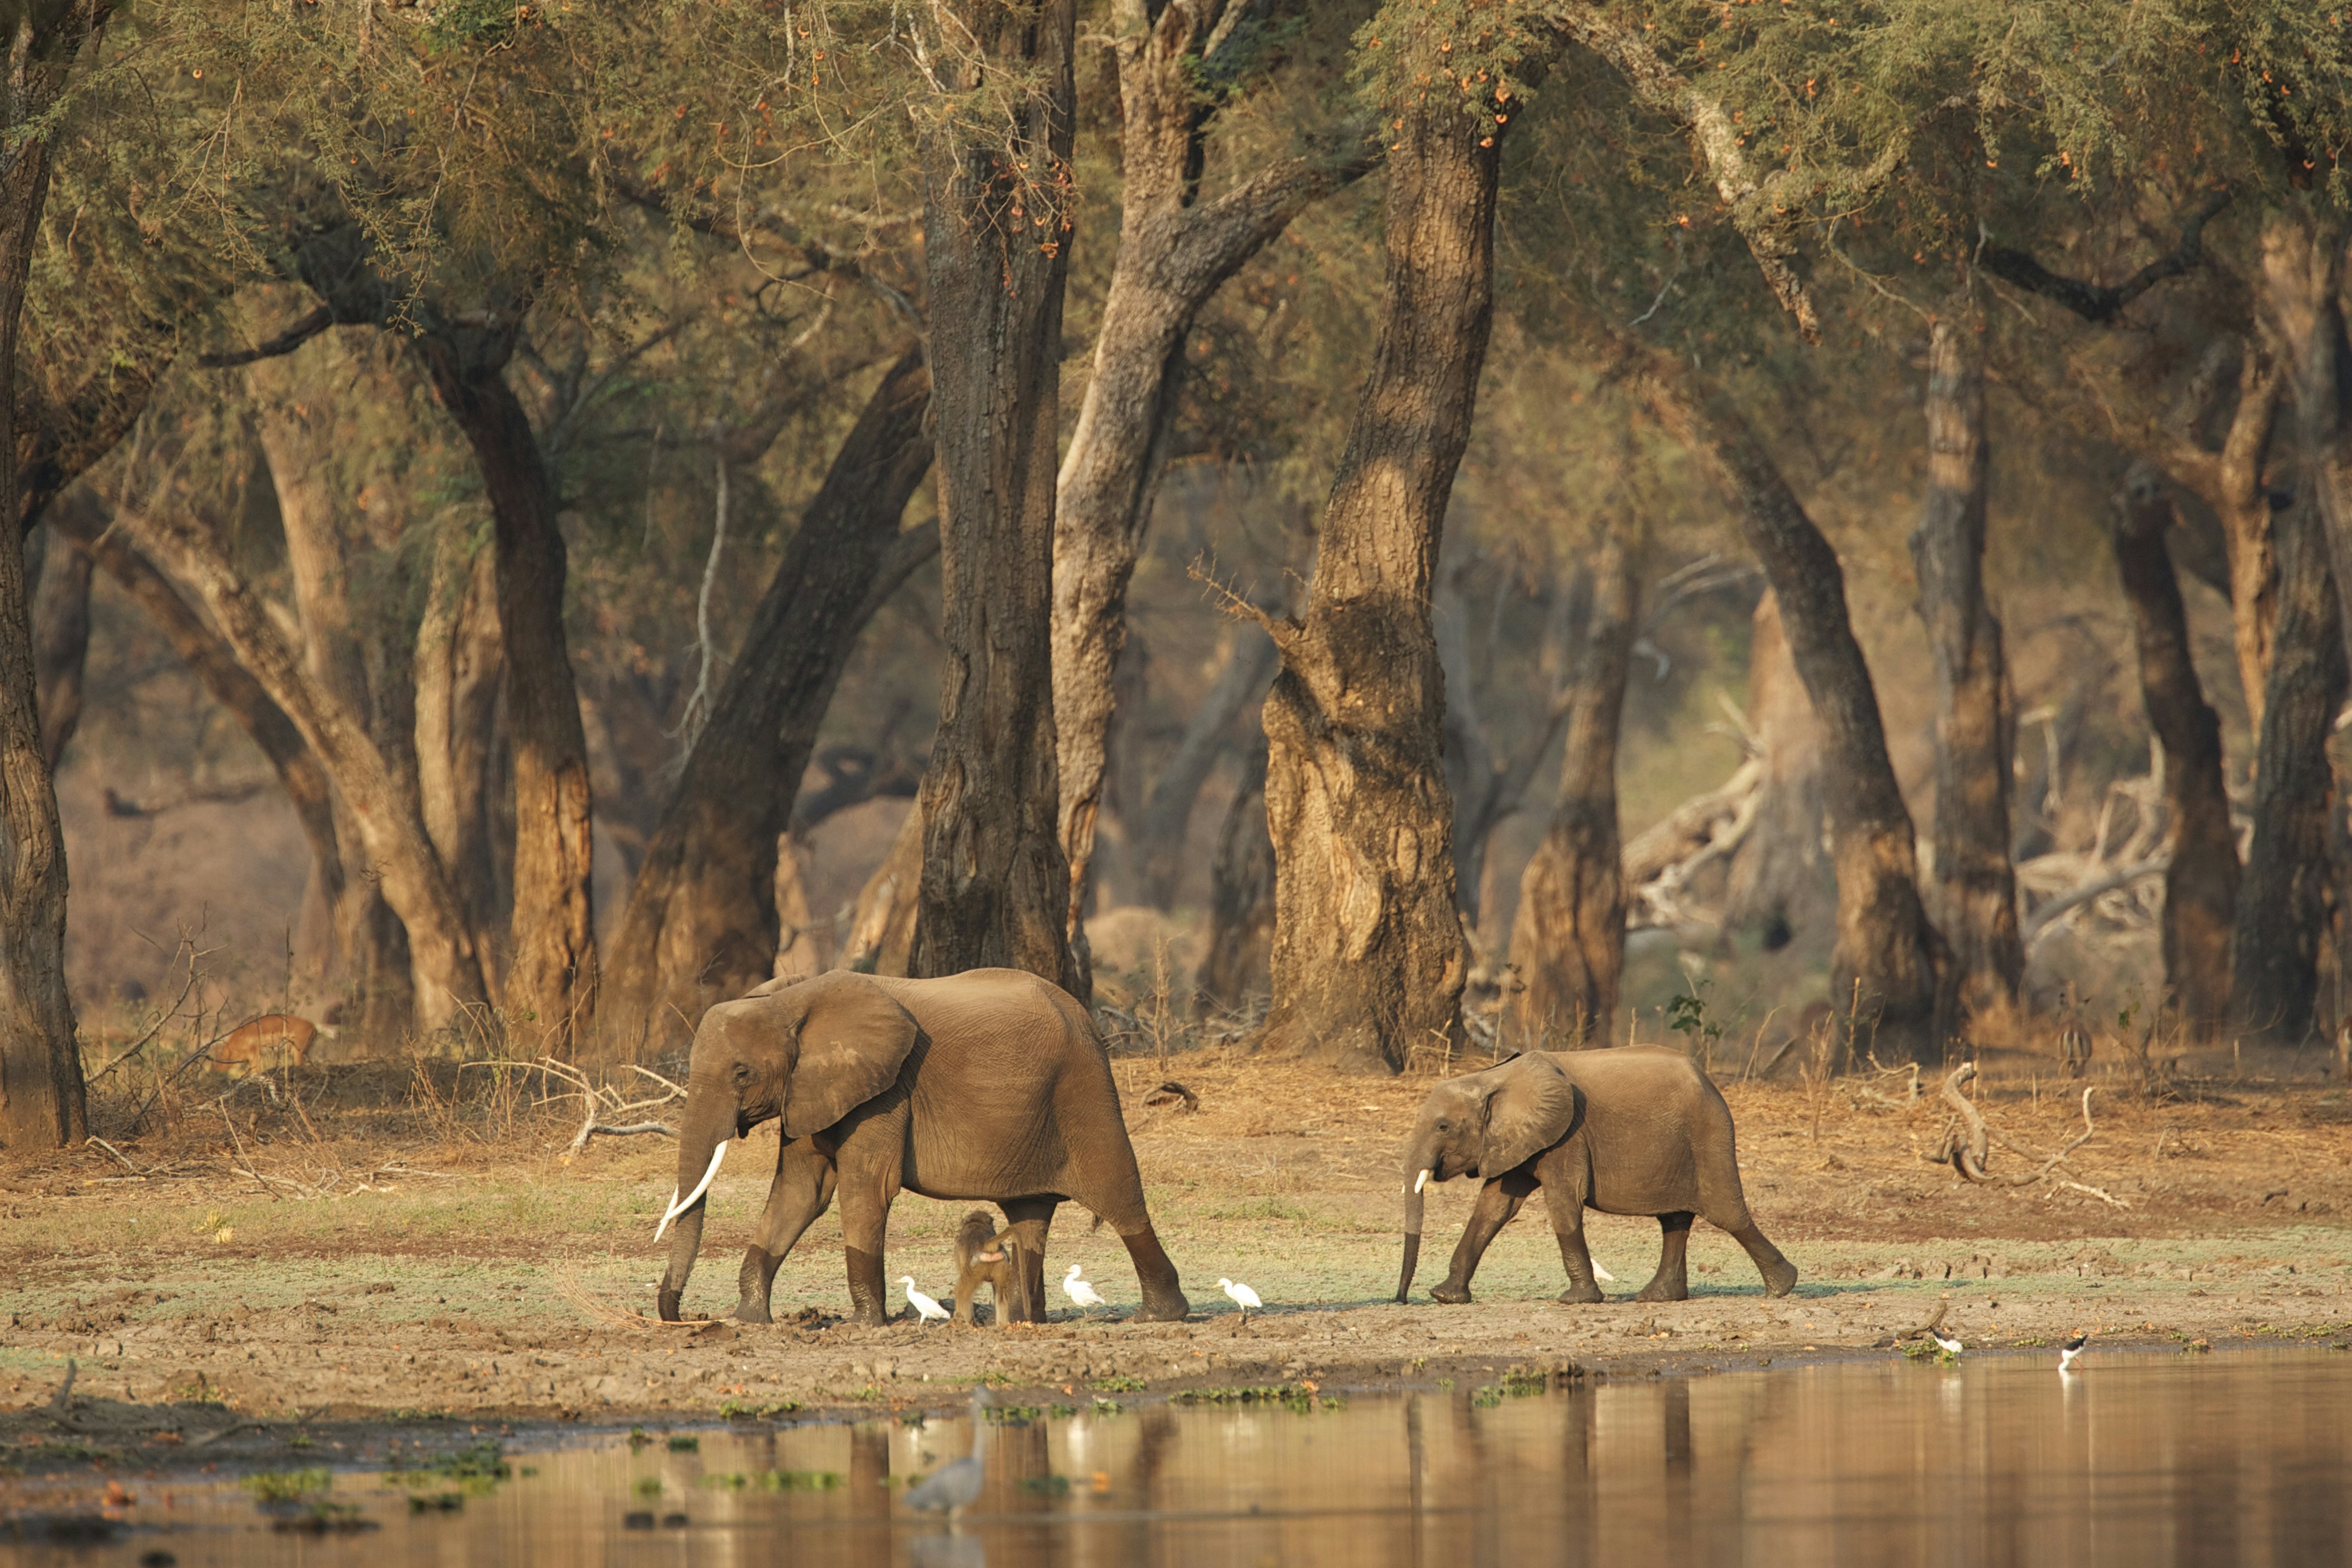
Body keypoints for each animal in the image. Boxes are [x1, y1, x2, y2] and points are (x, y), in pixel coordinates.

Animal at [652, 968, 1190, 1326]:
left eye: (742, 1073)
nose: (678, 1315)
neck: (789, 1000)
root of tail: (1087, 1018)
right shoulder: (809, 1090)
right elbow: (801, 1192)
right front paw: (748, 1320)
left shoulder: (886, 1093)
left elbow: (865, 1189)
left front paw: (865, 1326)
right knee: (1029, 1216)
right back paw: (1023, 1320)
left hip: (1086, 1093)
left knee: (1120, 1197)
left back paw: (1160, 1316)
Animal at [1394, 1047, 1797, 1305]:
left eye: (1443, 1126)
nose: (1402, 1299)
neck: (1493, 1077)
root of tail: (1710, 1082)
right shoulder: (1519, 1139)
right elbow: (1493, 1208)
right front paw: (1445, 1296)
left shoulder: (1566, 1136)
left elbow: (1563, 1202)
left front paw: (1577, 1301)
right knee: (1675, 1220)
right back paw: (1657, 1297)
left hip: (1709, 1136)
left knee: (1726, 1213)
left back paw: (1782, 1288)